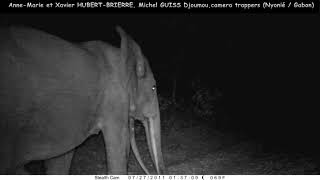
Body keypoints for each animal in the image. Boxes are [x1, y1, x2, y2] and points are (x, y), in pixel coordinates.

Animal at [0, 25, 165, 174]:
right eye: (153, 88)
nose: (154, 172)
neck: (122, 54)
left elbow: (62, 158)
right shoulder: (112, 101)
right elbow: (117, 148)